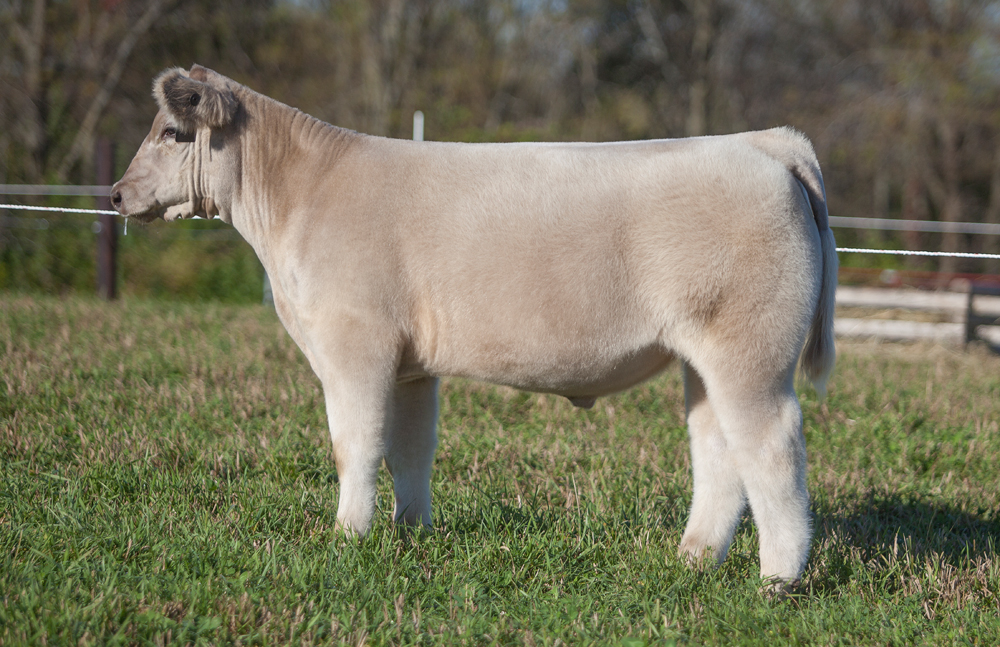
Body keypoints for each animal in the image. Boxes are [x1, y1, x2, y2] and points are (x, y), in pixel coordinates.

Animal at [111, 64, 837, 588]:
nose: (116, 193)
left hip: (749, 350)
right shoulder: (409, 364)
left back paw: (778, 578)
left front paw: (347, 537)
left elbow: (355, 444)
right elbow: (410, 449)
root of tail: (761, 142)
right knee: (717, 447)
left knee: (772, 446)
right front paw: (409, 532)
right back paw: (693, 557)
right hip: (704, 357)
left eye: (173, 133)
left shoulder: (354, 344)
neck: (299, 197)